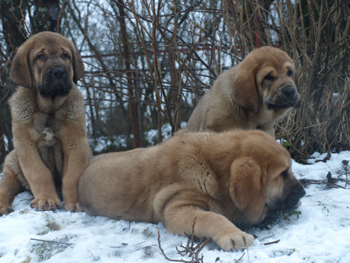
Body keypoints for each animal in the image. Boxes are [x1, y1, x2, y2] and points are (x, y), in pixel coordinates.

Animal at [0, 31, 92, 217]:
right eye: (40, 56)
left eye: (65, 55)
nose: (58, 72)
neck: (49, 108)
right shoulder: (25, 145)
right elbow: (40, 173)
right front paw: (47, 199)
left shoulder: (76, 143)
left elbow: (73, 175)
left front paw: (76, 202)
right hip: (12, 161)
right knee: (5, 188)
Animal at [78, 131, 304, 253]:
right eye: (283, 173)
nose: (302, 192)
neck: (213, 169)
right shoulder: (178, 207)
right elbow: (213, 217)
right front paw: (234, 234)